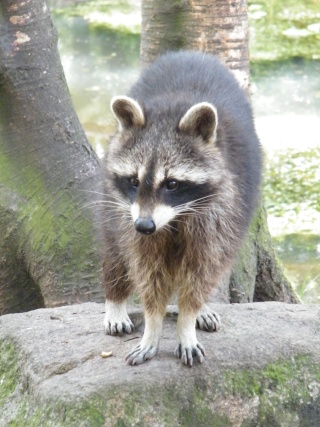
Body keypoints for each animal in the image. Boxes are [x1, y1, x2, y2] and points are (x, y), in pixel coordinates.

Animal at [103, 51, 262, 368]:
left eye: (173, 184)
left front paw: (187, 321)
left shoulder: (223, 208)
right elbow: (147, 272)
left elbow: (202, 269)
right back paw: (115, 300)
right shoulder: (130, 213)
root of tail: (192, 52)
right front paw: (152, 326)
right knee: (115, 247)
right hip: (114, 206)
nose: (144, 226)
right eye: (133, 181)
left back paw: (202, 306)